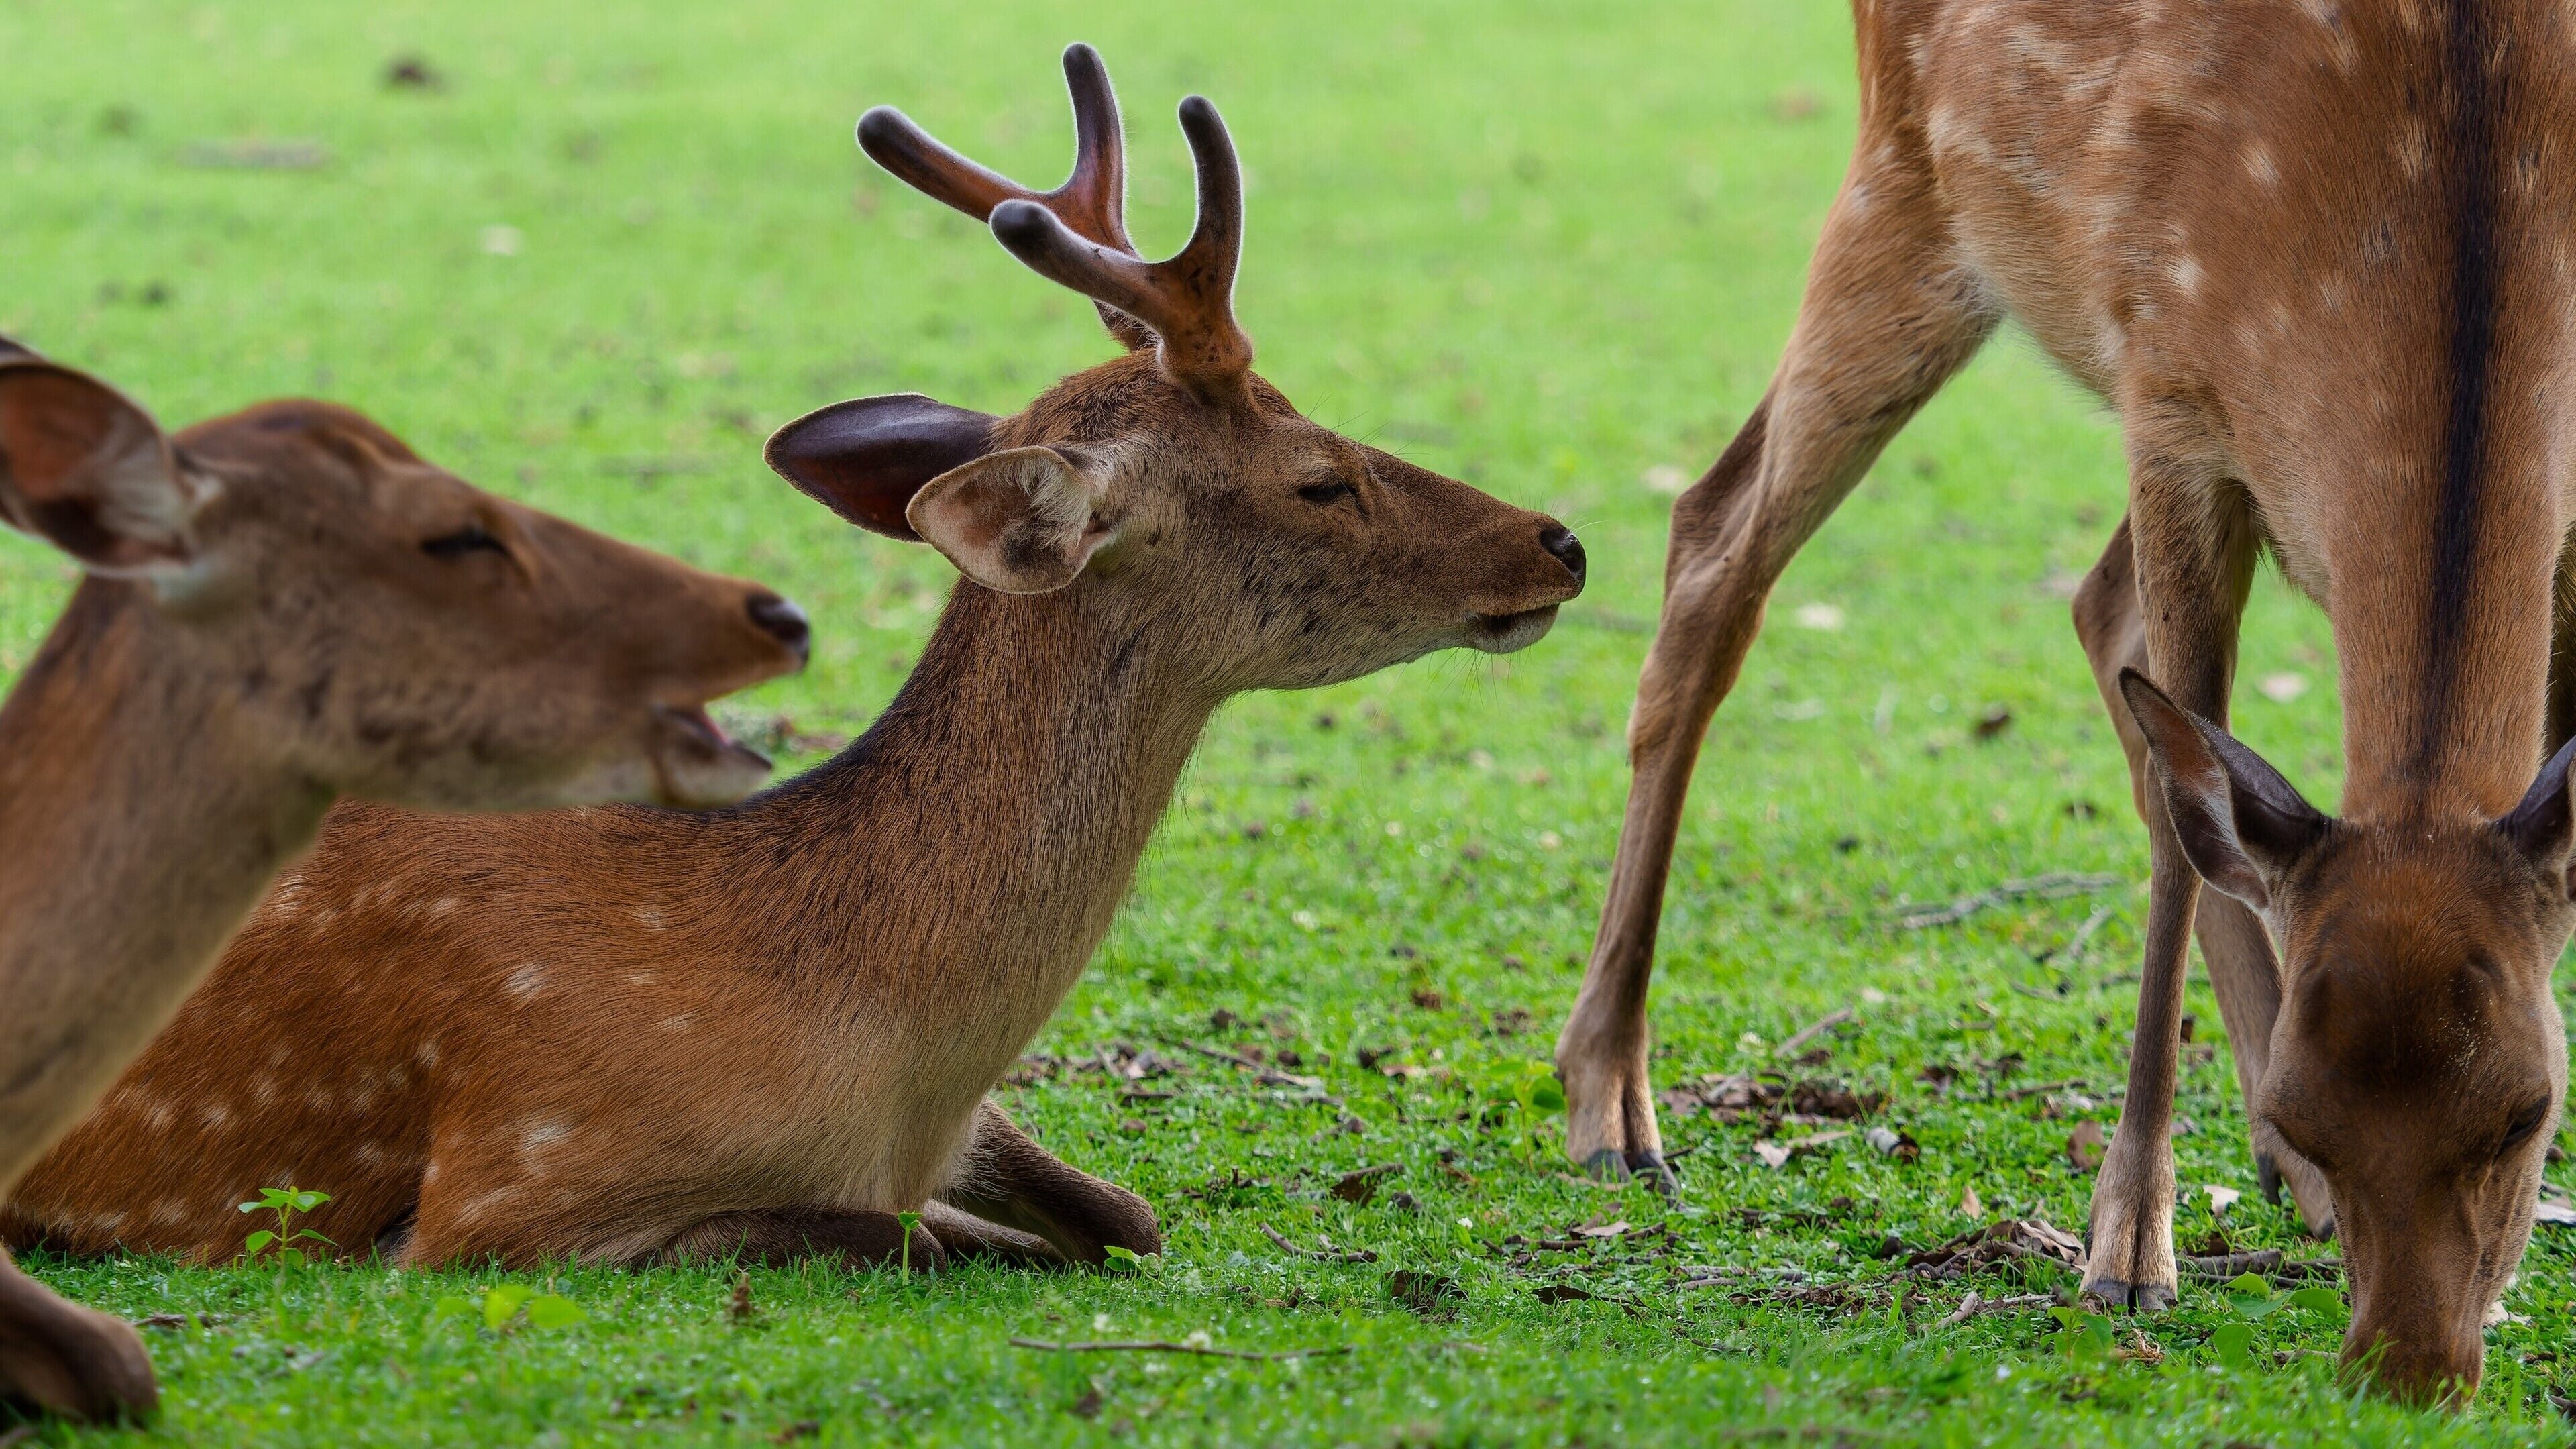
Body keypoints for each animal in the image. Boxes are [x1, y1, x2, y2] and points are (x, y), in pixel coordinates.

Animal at [3, 45, 1585, 1292]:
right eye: (1321, 477)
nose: (1558, 540)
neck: (881, 1047)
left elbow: (1125, 1216)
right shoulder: (513, 1181)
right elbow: (912, 1233)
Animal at [1553, 0, 2576, 1403]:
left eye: (2531, 1111)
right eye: (2306, 1100)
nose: (2410, 1372)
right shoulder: (2172, 389)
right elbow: (2173, 832)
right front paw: (2127, 1247)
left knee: (2100, 616)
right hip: (1902, 188)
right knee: (1713, 538)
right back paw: (1610, 1100)